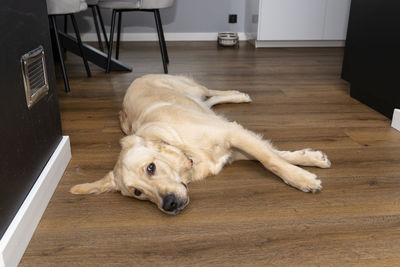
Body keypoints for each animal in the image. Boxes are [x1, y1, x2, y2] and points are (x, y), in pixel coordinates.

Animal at [69, 75, 332, 216]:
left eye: (151, 168)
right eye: (137, 193)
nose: (169, 205)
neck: (184, 149)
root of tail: (136, 78)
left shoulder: (232, 133)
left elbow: (272, 160)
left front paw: (303, 179)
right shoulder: (235, 147)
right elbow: (276, 155)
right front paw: (311, 160)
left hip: (191, 87)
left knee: (210, 91)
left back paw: (239, 95)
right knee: (210, 102)